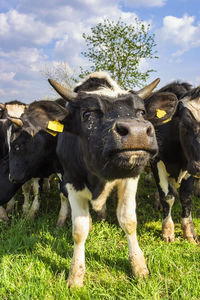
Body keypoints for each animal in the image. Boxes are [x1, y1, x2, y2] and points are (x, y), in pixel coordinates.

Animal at [7, 71, 177, 288]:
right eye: (87, 114)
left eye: (141, 112)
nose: (137, 131)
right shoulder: (71, 180)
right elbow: (79, 230)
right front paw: (75, 276)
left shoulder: (131, 177)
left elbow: (129, 221)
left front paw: (139, 267)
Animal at [147, 81, 200, 244]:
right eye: (185, 124)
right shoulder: (156, 162)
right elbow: (167, 197)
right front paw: (168, 231)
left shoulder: (190, 166)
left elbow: (186, 197)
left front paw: (189, 232)